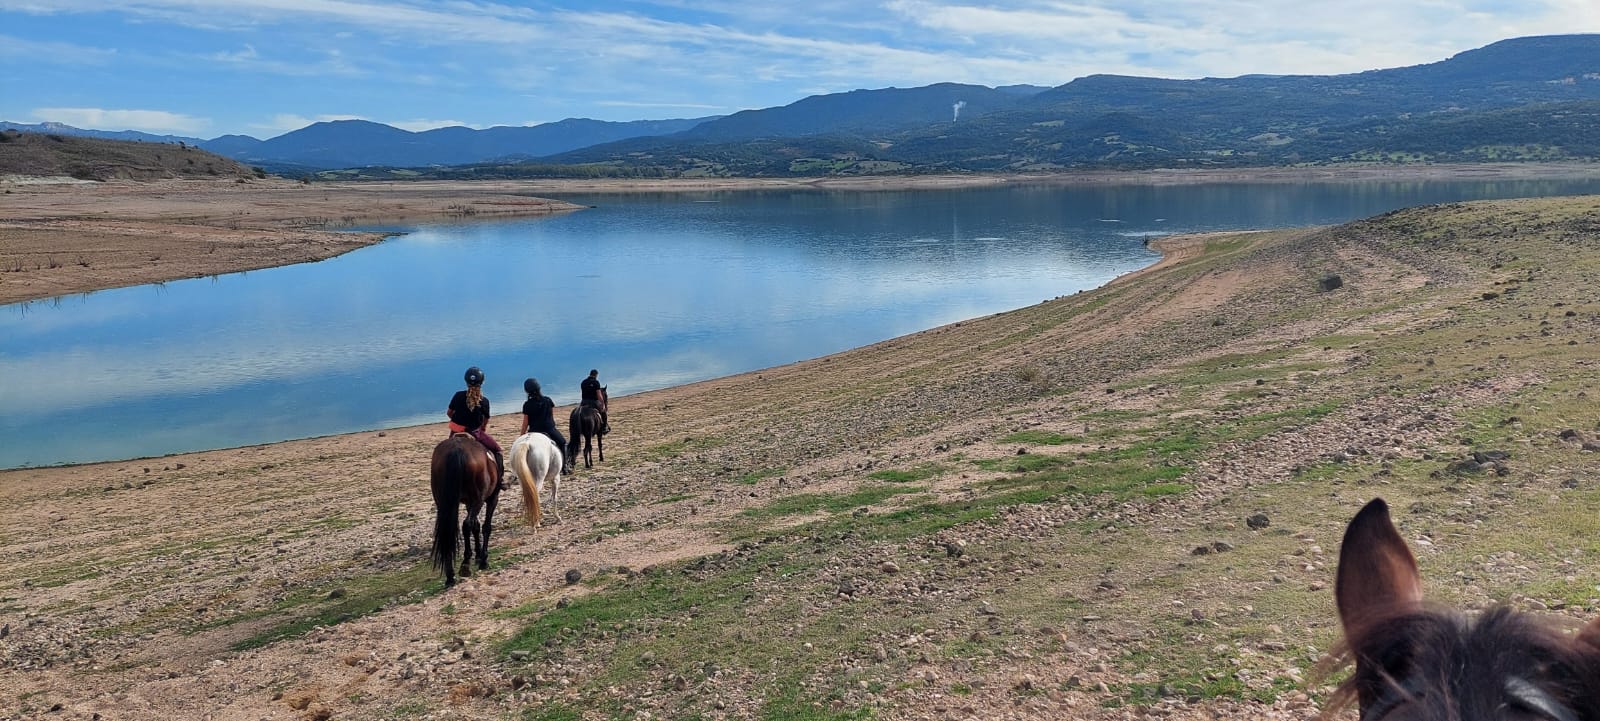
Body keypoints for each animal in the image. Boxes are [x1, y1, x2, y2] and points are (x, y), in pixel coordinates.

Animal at [429, 433, 501, 588]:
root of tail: (457, 450)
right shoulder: (492, 499)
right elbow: (485, 527)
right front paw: (483, 559)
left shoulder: (469, 503)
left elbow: (476, 526)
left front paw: (478, 556)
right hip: (478, 499)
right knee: (466, 525)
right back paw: (465, 564)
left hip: (445, 503)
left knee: (450, 530)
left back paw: (450, 575)